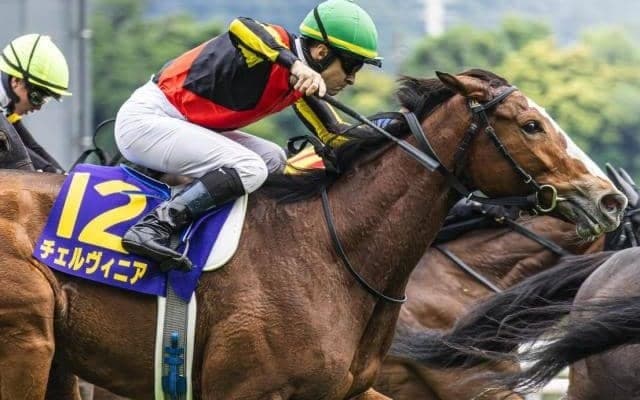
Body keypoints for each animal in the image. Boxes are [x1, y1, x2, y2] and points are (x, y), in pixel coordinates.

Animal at [0, 69, 626, 400]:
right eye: (531, 124)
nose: (609, 198)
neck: (331, 254)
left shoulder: (345, 388)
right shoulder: (243, 389)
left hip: (61, 362)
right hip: (26, 342)